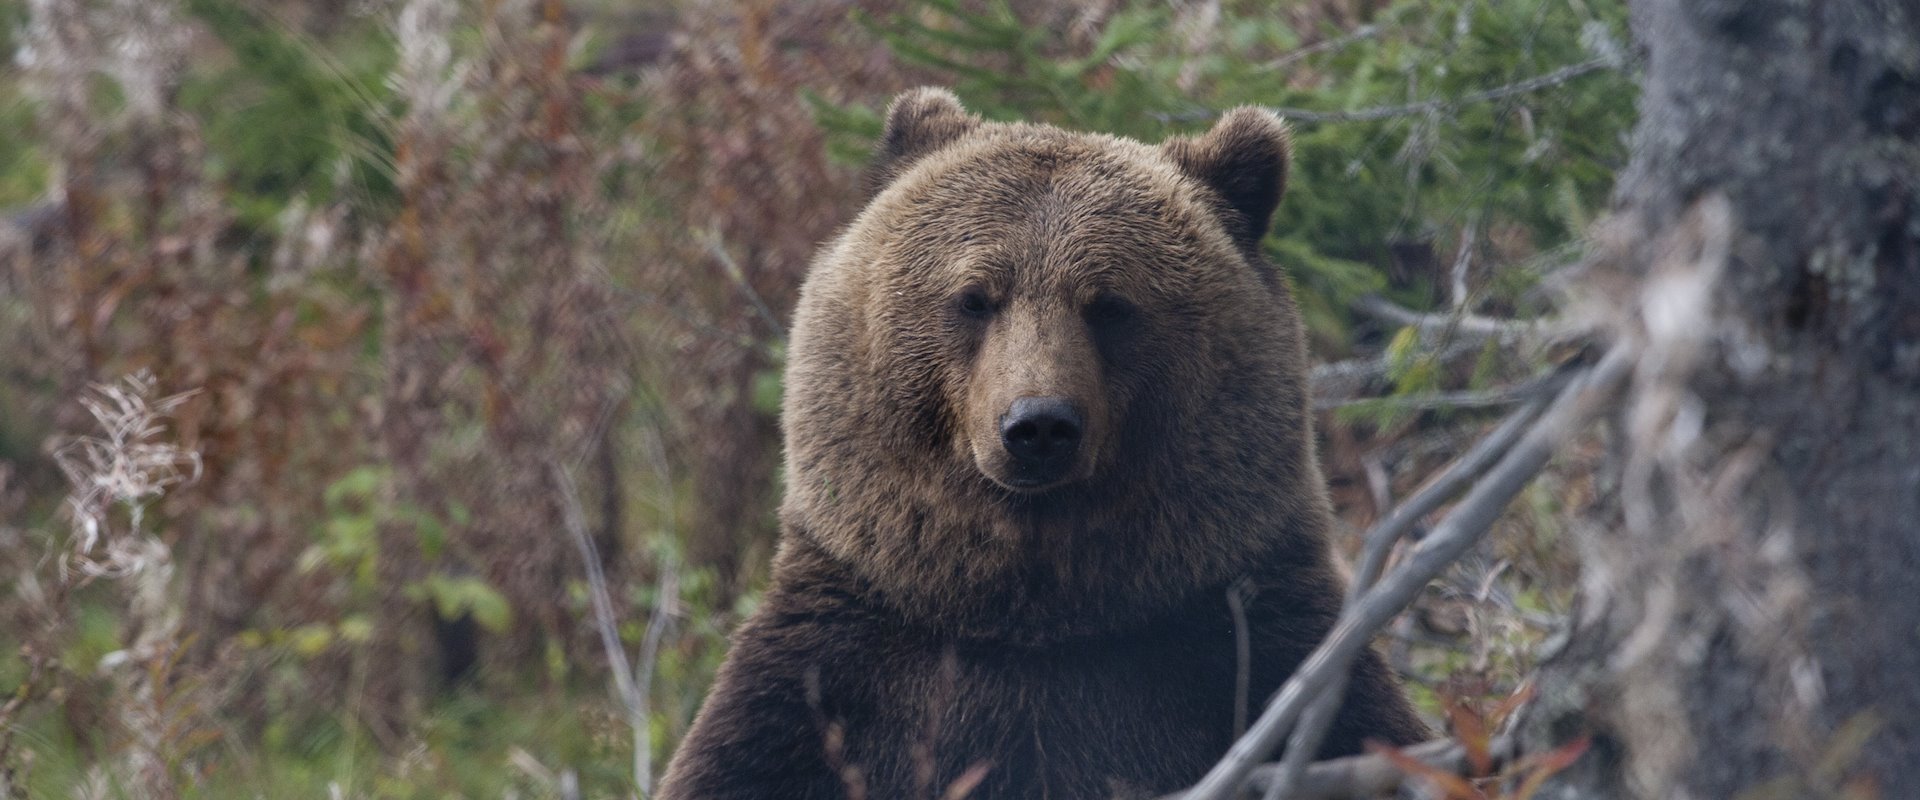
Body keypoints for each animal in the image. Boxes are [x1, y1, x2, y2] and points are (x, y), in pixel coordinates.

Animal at [660, 88, 1428, 798]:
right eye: (975, 296)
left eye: (1110, 304)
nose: (1038, 425)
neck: (1033, 619)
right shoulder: (834, 681)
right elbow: (751, 754)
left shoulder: (1254, 664)